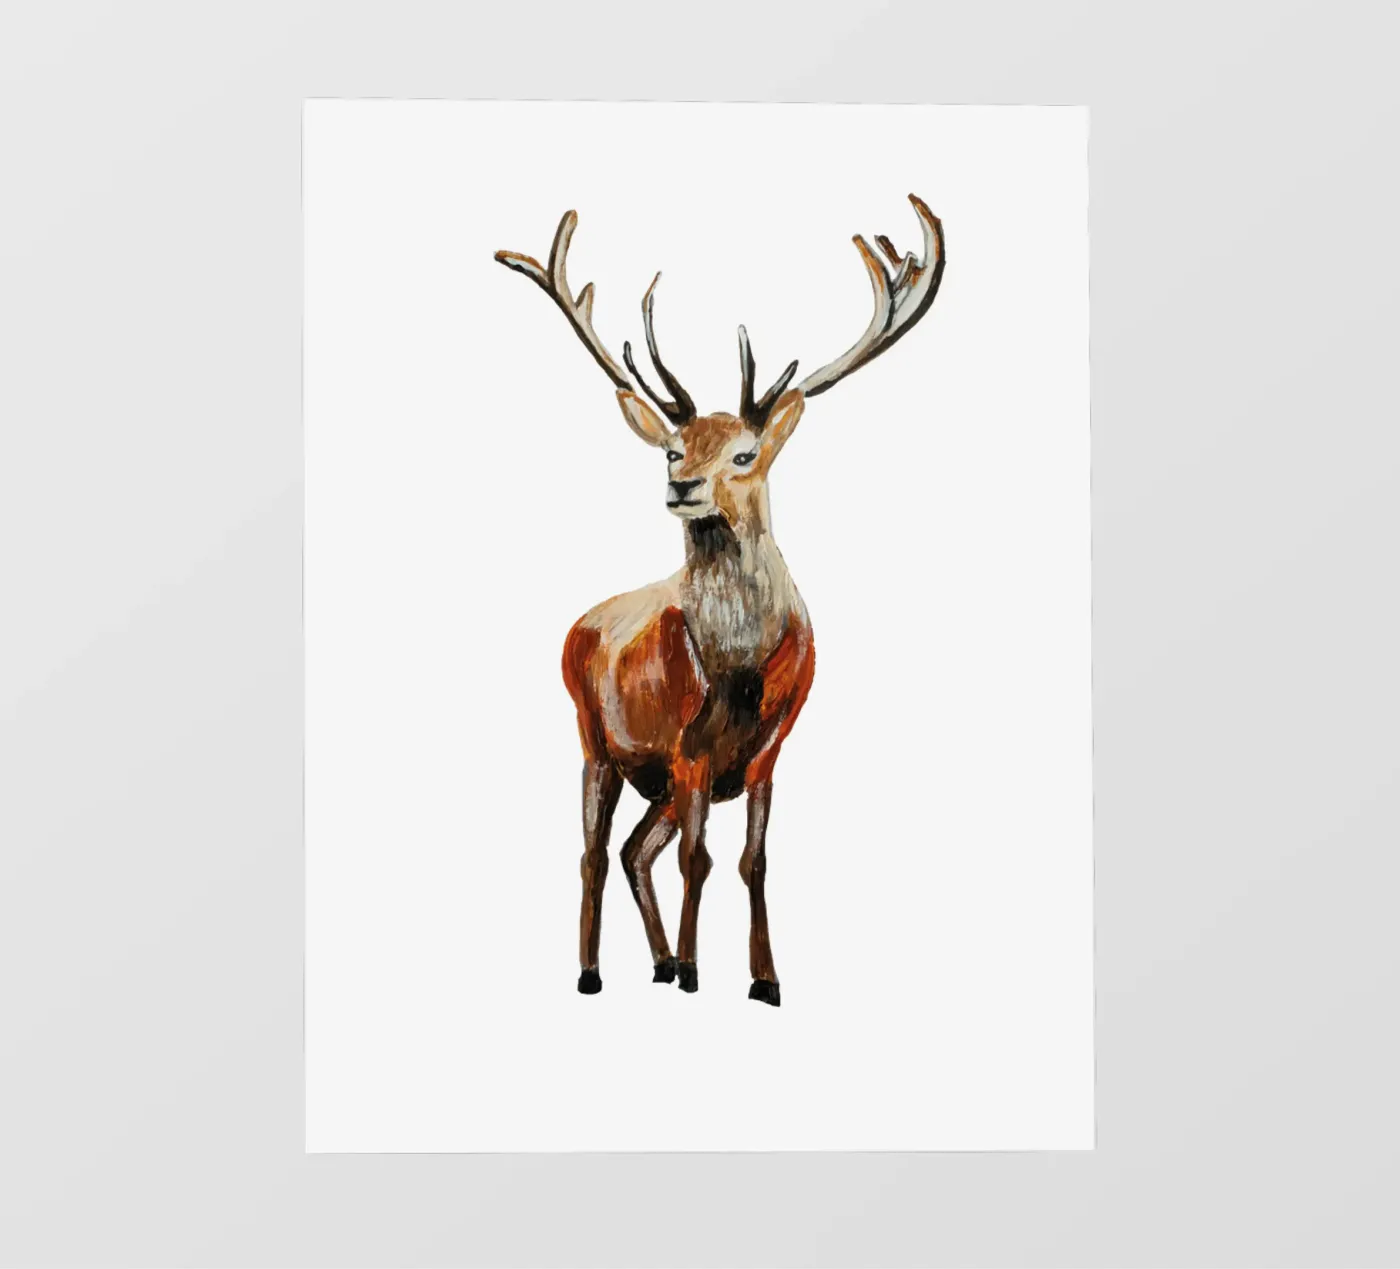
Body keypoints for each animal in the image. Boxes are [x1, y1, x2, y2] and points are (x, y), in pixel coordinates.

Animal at [494, 194, 944, 1006]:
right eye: (674, 448)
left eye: (744, 453)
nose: (681, 487)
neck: (739, 669)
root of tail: (579, 623)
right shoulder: (687, 747)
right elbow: (696, 861)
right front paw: (696, 971)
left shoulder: (769, 750)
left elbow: (752, 861)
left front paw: (763, 978)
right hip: (594, 737)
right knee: (596, 852)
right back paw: (594, 971)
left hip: (654, 780)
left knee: (636, 848)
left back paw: (655, 959)